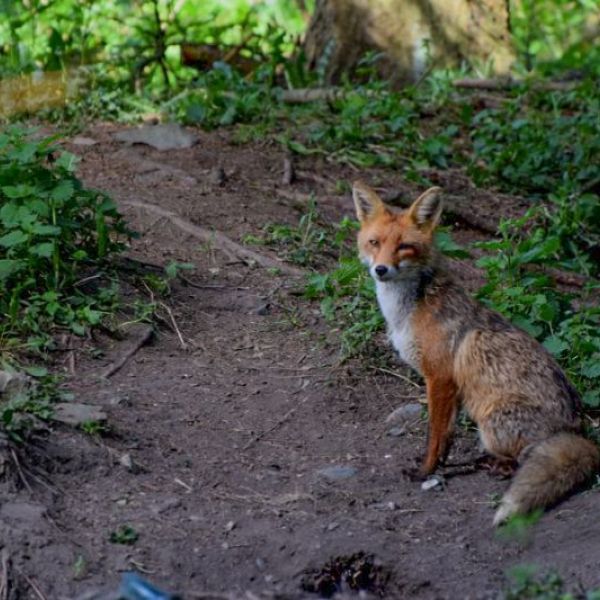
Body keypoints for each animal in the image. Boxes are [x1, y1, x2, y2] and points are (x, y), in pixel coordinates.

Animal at [352, 180, 600, 524]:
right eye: (374, 242)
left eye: (404, 247)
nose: (381, 269)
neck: (406, 312)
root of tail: (579, 429)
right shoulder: (451, 388)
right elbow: (447, 437)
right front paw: (439, 466)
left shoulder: (439, 378)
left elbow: (434, 435)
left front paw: (425, 471)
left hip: (491, 421)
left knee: (522, 459)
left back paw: (496, 466)